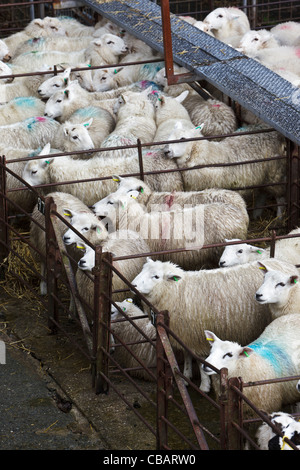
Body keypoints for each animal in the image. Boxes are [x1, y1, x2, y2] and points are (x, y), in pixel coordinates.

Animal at [131, 258, 296, 390]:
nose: (132, 285)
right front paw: (186, 376)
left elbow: (200, 363)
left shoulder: (196, 337)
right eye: (143, 270)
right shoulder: (185, 334)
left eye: (156, 276)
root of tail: (286, 264)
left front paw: (204, 386)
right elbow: (187, 355)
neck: (178, 291)